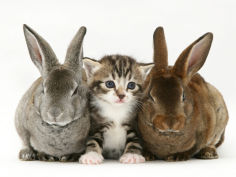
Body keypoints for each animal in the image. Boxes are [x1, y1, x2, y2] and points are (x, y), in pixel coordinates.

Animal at [15, 24, 90, 162]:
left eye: (75, 90)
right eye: (44, 89)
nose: (54, 113)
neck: (57, 127)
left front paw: (69, 157)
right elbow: (26, 140)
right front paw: (42, 155)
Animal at [138, 27, 229, 161]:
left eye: (183, 96)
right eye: (150, 96)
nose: (170, 123)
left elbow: (192, 149)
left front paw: (177, 157)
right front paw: (147, 155)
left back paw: (208, 153)